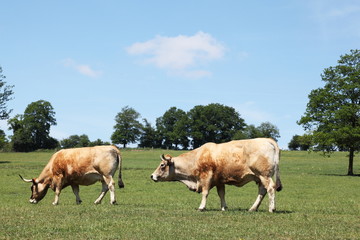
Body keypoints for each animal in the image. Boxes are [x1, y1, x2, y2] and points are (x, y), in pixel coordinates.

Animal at [150, 138, 282, 213]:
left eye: (162, 165)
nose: (152, 176)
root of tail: (266, 140)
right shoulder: (219, 181)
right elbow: (221, 194)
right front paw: (223, 208)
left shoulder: (205, 178)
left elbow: (205, 193)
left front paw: (201, 207)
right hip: (259, 178)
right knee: (262, 191)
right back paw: (253, 208)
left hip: (264, 175)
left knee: (270, 188)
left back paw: (271, 209)